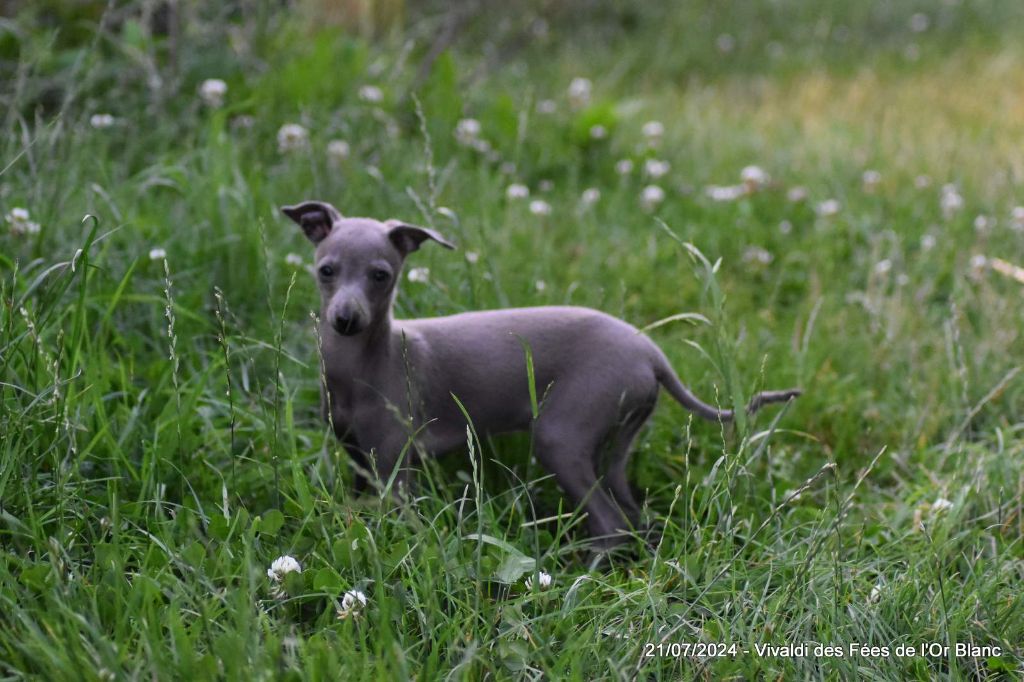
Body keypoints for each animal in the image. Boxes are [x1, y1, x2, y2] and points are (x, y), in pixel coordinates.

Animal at [284, 199, 802, 544]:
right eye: (326, 270)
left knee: (611, 523)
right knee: (629, 509)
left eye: (381, 275)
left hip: (562, 435)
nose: (346, 320)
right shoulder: (357, 459)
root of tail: (651, 351)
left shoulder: (397, 467)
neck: (371, 361)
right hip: (618, 438)